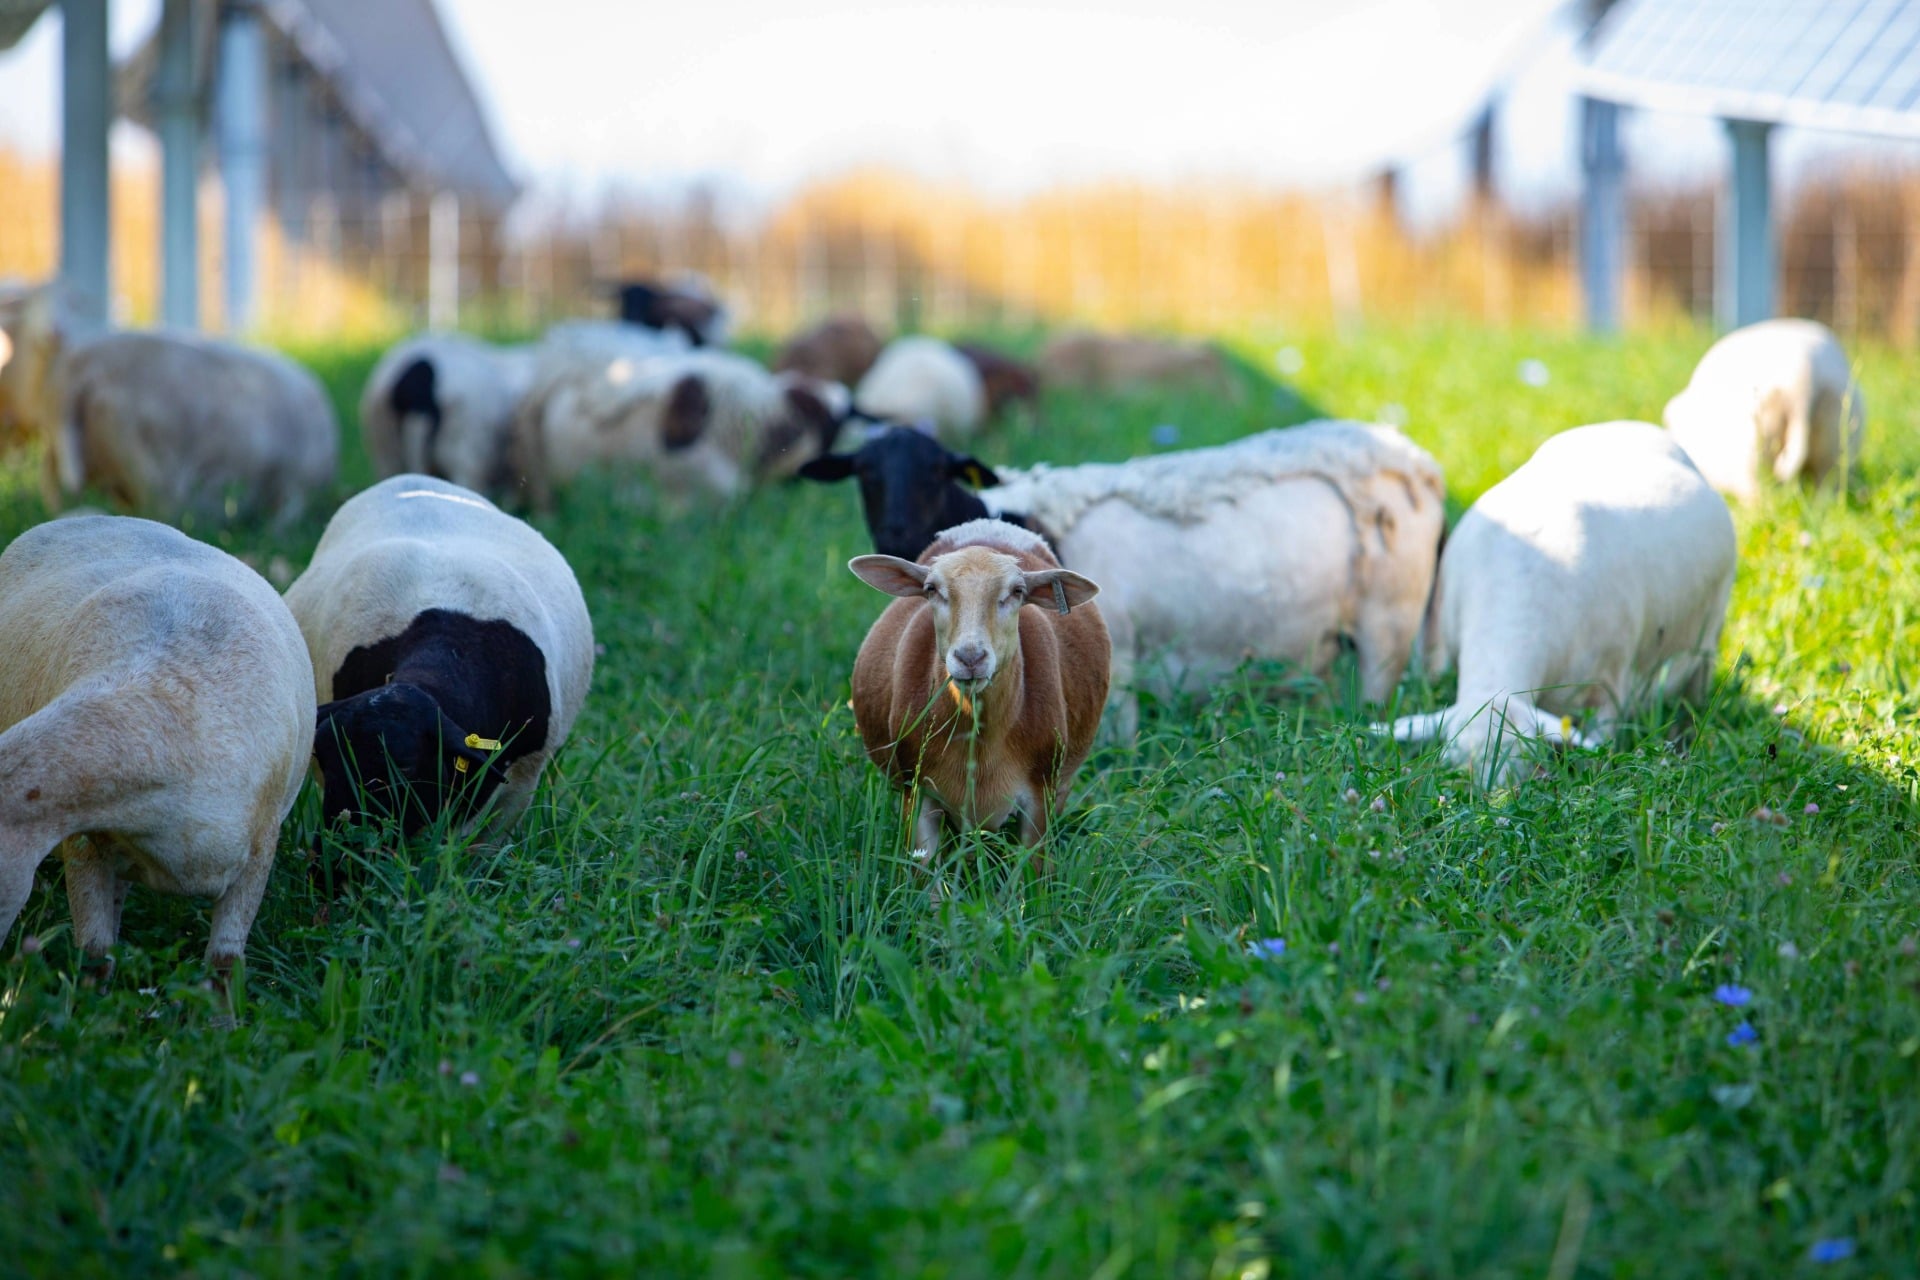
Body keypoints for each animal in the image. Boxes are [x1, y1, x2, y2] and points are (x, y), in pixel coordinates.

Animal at [284, 475, 595, 841]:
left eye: (405, 766)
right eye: (326, 757)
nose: (342, 843)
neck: (451, 648)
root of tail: (413, 479)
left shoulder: (519, 786)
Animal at [802, 421, 1446, 737]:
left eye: (939, 472)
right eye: (864, 473)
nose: (897, 534)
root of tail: (1420, 462)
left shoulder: (1118, 669)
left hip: (1388, 628)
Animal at [848, 517, 1108, 865]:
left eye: (1017, 592)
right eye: (931, 590)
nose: (970, 657)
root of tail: (989, 526)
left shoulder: (1040, 797)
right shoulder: (916, 790)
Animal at [1382, 421, 1737, 786]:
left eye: (1523, 755)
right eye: (1453, 761)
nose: (1495, 799)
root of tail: (1638, 426)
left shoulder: (1611, 682)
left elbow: (1604, 735)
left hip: (1709, 632)